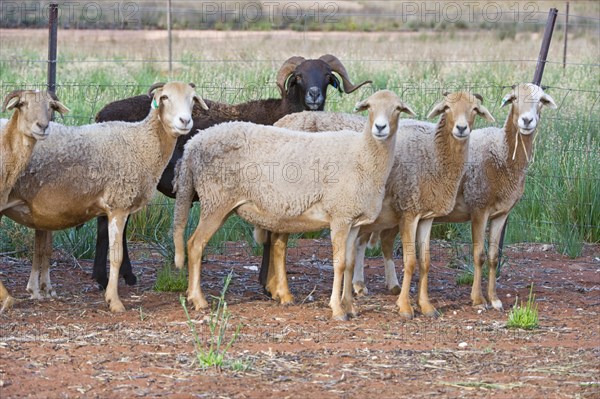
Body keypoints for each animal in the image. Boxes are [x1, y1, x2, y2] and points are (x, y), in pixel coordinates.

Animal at [92, 54, 370, 290]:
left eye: (326, 76)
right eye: (299, 76)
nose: (314, 96)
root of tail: (100, 115)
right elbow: (269, 235)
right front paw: (267, 283)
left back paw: (122, 276)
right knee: (108, 225)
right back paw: (106, 277)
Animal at [172, 91, 418, 322]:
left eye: (397, 109)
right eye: (370, 107)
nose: (380, 127)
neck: (362, 155)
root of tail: (194, 144)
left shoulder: (353, 220)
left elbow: (349, 264)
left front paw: (350, 307)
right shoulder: (339, 217)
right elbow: (339, 265)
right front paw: (337, 309)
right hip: (216, 200)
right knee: (195, 245)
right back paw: (199, 299)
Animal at [354, 83, 556, 312]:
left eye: (541, 101)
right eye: (513, 99)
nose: (527, 121)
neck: (502, 153)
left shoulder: (501, 214)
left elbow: (494, 257)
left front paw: (494, 298)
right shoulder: (479, 207)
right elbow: (479, 255)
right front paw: (478, 299)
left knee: (385, 241)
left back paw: (391, 286)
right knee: (361, 240)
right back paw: (359, 286)